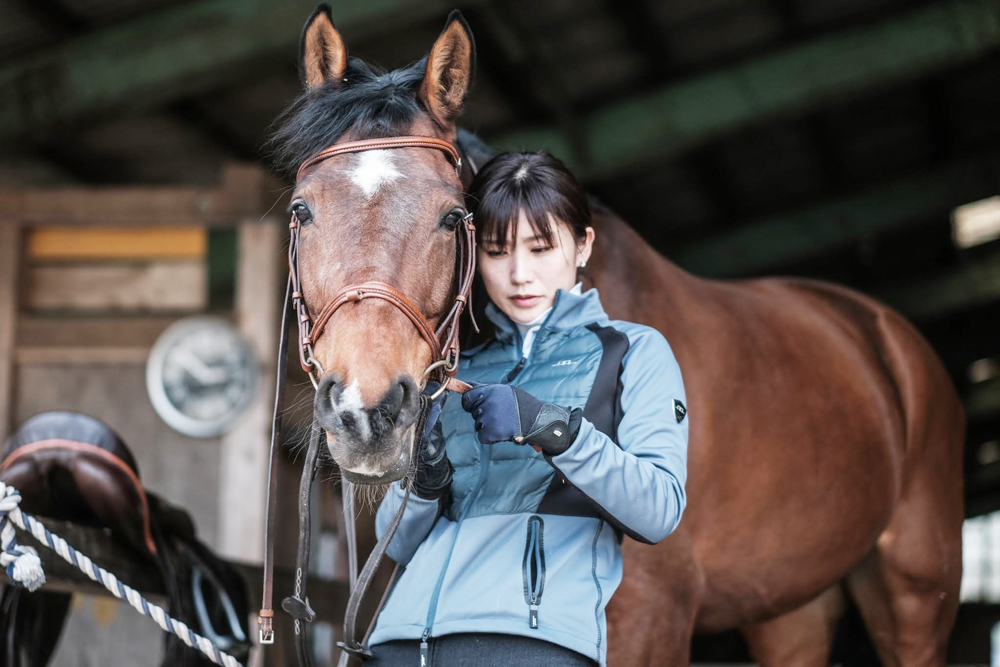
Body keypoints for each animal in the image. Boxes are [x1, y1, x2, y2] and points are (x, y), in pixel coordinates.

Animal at [271, 7, 965, 665]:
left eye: (451, 217)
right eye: (302, 210)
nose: (367, 413)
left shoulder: (656, 618)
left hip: (915, 590)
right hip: (788, 603)